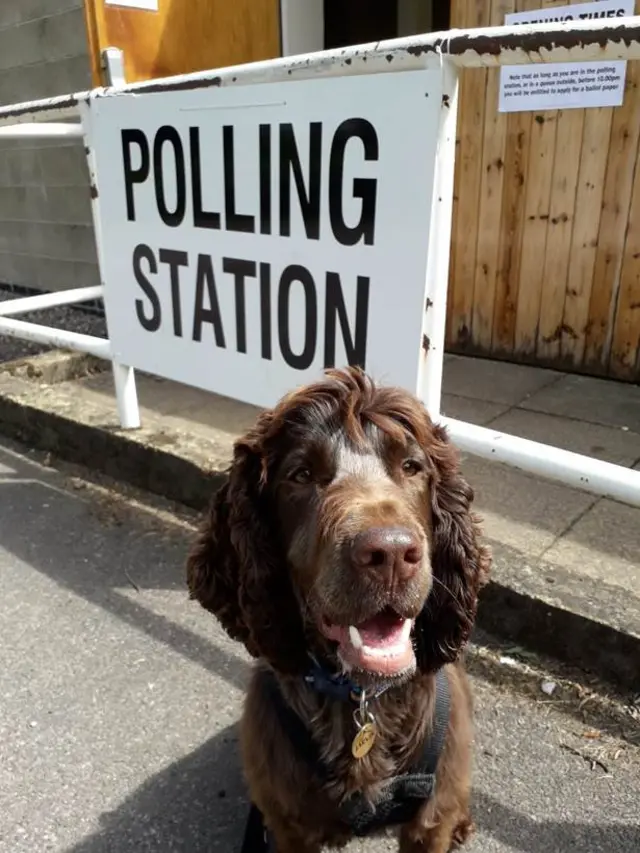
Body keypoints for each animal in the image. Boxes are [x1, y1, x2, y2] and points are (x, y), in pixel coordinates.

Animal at [185, 368, 490, 852]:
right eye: (301, 474)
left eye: (411, 467)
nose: (390, 553)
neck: (362, 697)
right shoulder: (289, 825)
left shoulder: (430, 822)